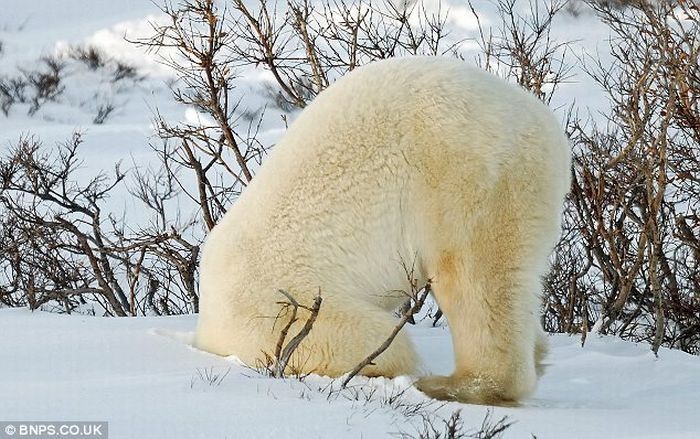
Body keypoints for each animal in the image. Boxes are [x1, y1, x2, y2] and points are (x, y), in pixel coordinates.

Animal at [196, 56, 568, 408]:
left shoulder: (278, 306)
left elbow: (373, 343)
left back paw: (450, 385)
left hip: (466, 176)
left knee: (471, 277)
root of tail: (544, 125)